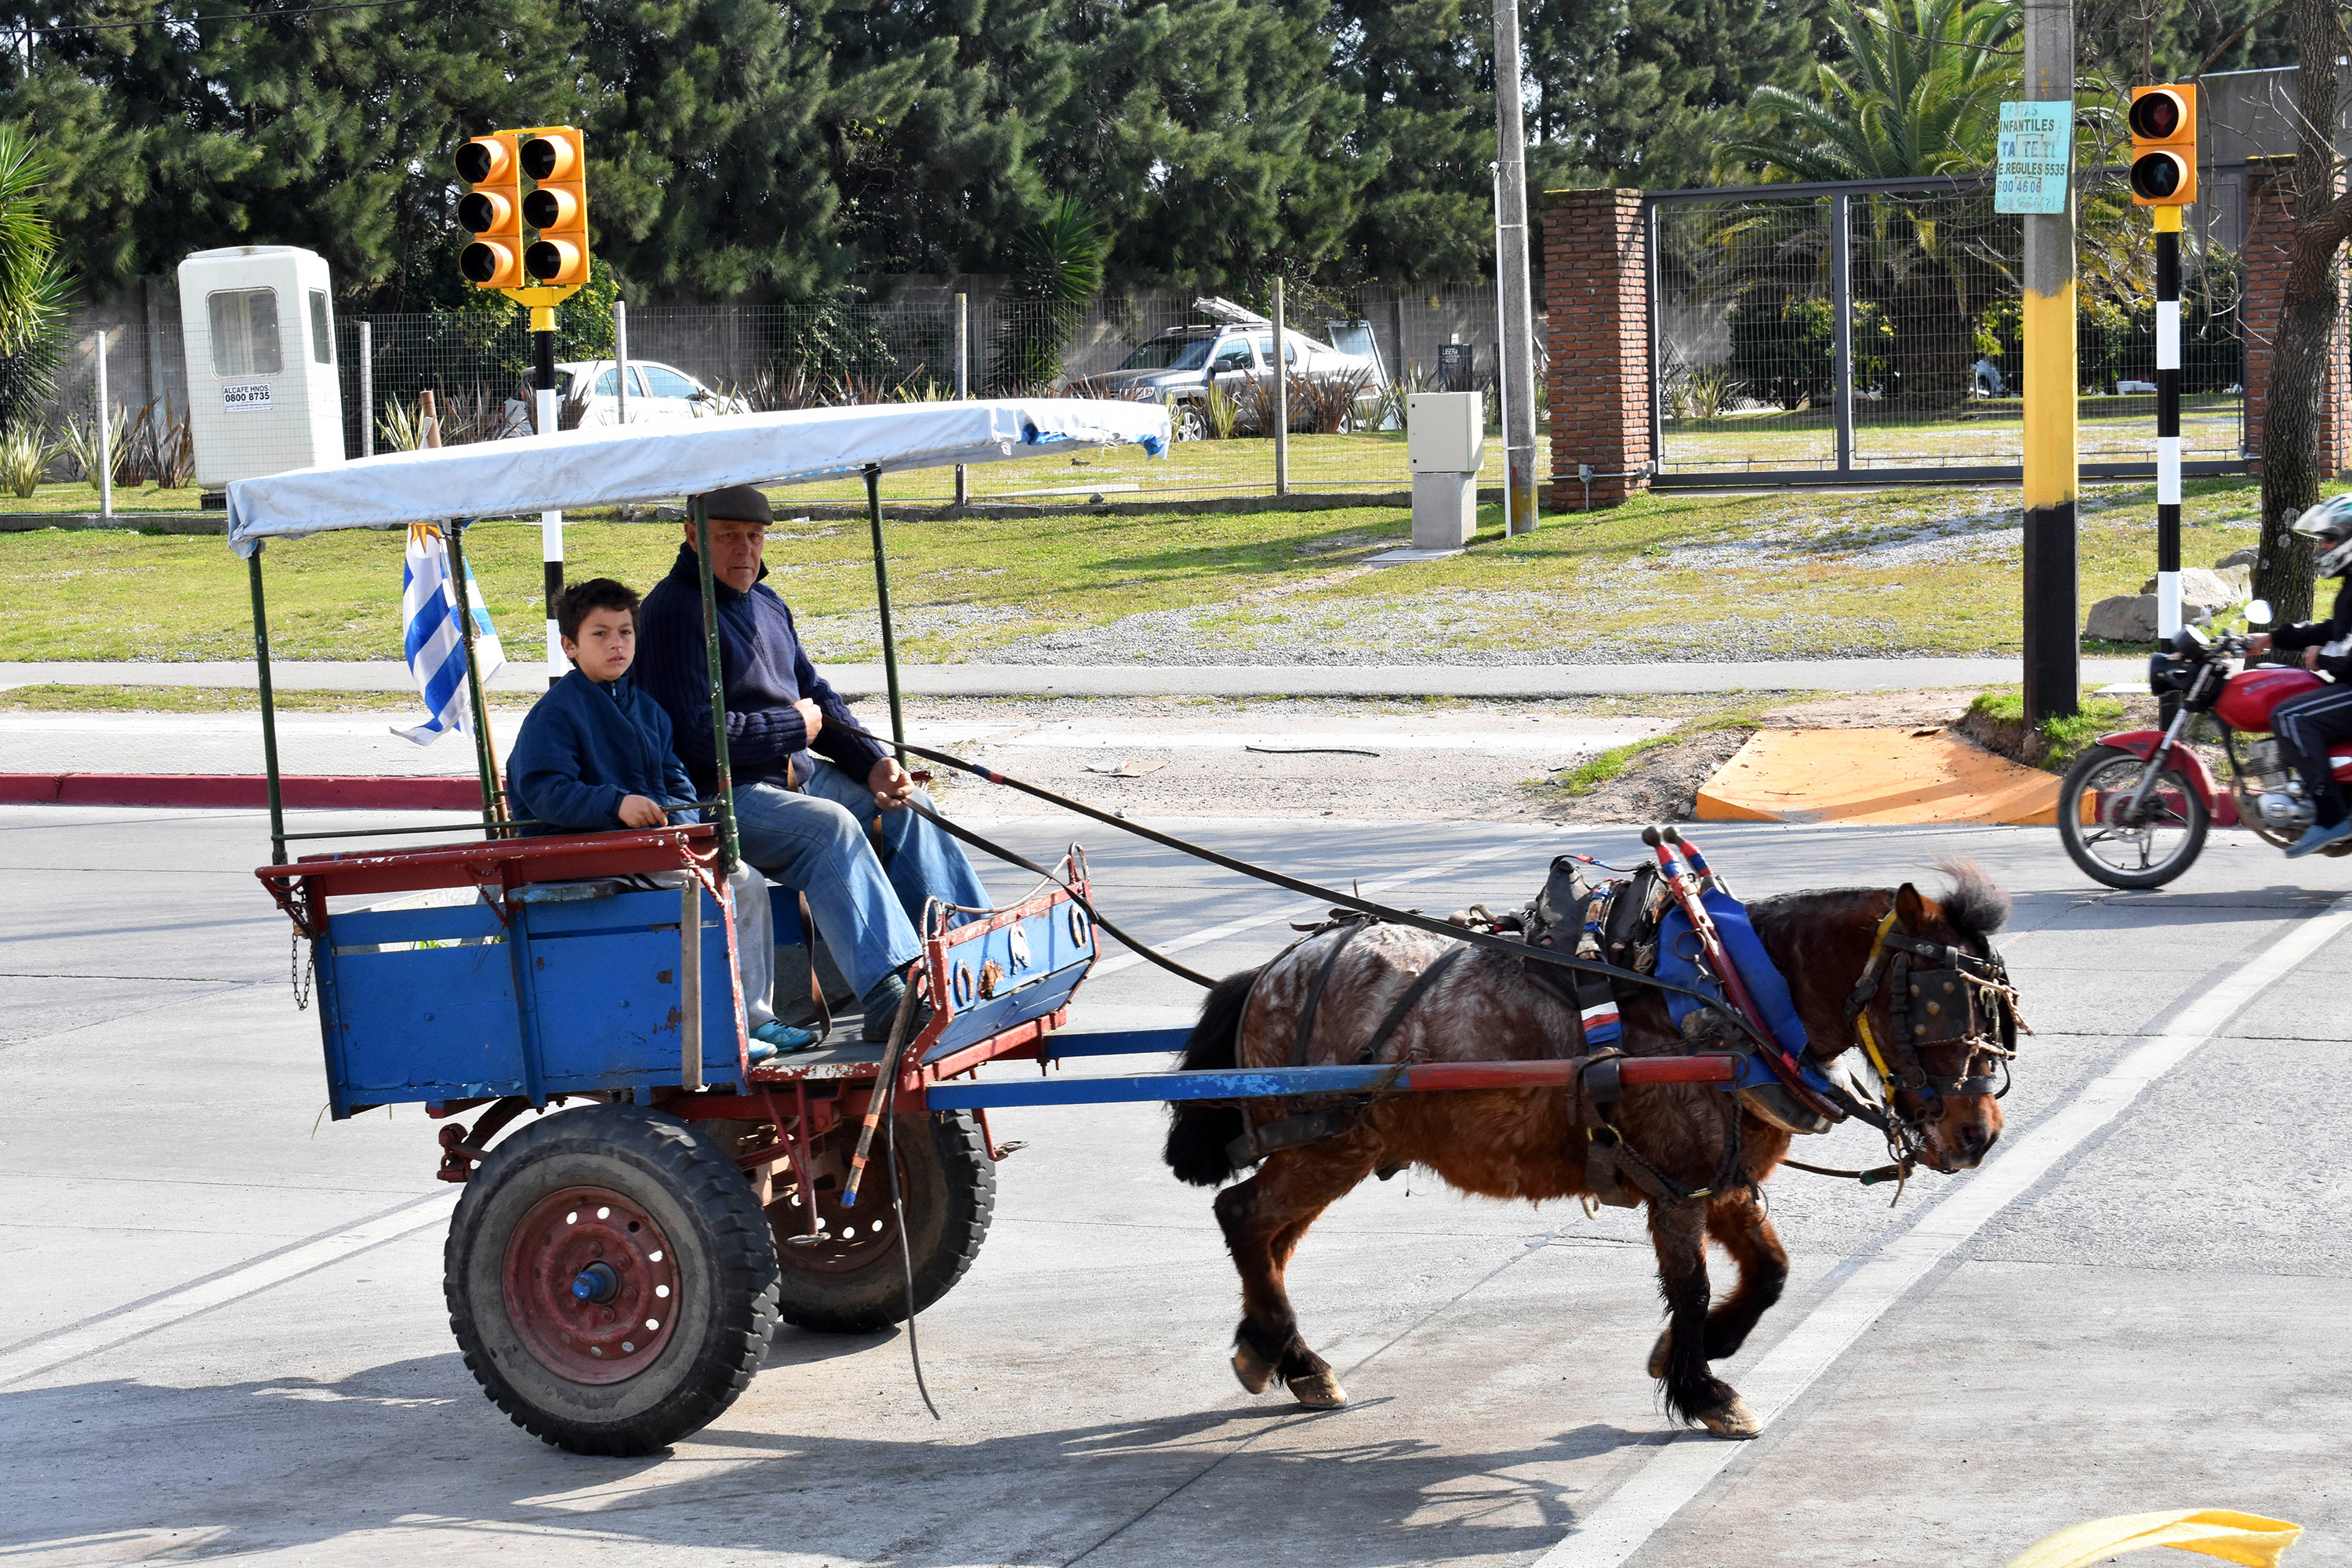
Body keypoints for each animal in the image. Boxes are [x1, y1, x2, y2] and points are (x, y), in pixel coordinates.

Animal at [1167, 865, 2013, 1439]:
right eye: (1942, 1001)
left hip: (1326, 1149)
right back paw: (1283, 1349)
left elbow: (1771, 1271)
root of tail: (1269, 972)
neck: (1728, 992)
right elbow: (1694, 1286)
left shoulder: (1721, 1178)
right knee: (1243, 1215)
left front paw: (1699, 1349)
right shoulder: (1676, 1186)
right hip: (1328, 1143)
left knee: (1270, 1238)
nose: (1979, 1133)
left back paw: (1282, 1354)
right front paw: (1704, 1387)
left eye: (1997, 1008)